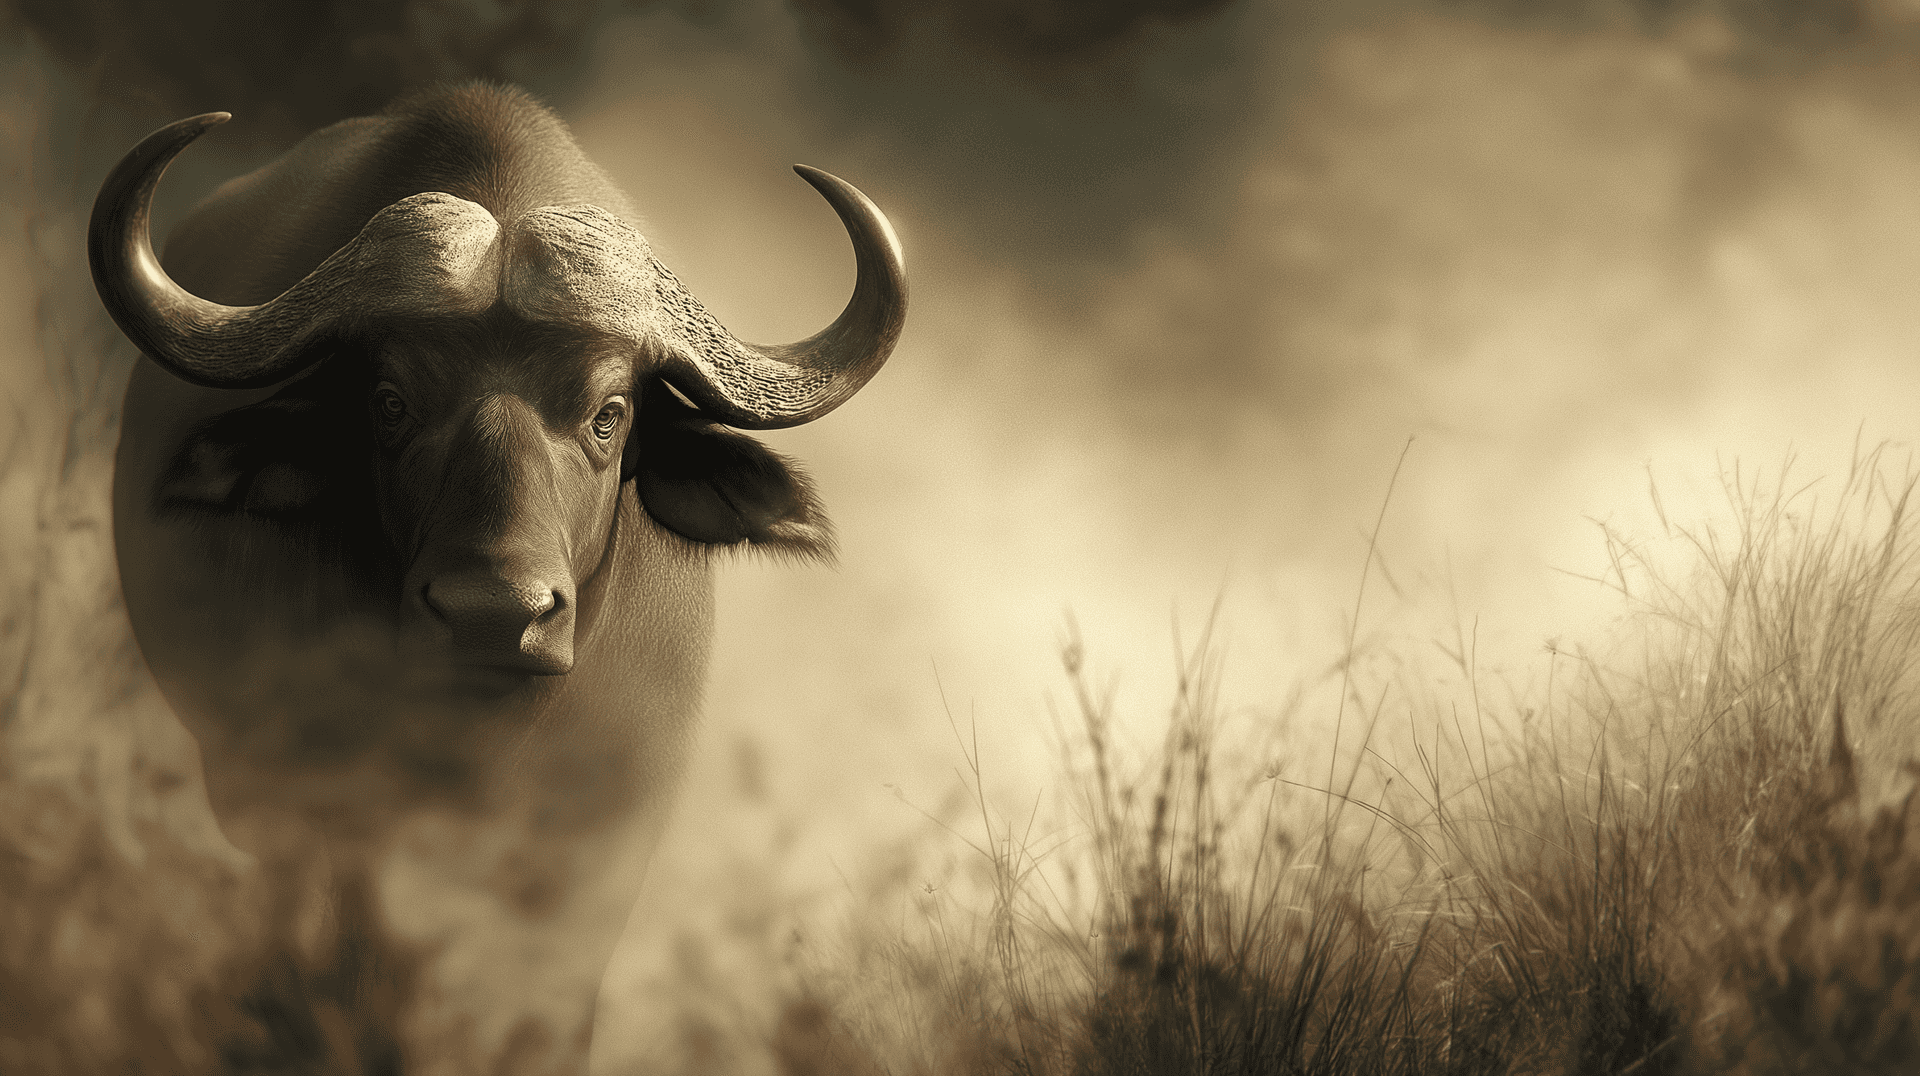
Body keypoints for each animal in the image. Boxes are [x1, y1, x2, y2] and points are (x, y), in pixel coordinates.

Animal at [88, 82, 904, 1074]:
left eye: (610, 413)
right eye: (389, 402)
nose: (492, 613)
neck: (484, 741)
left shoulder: (602, 843)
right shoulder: (331, 806)